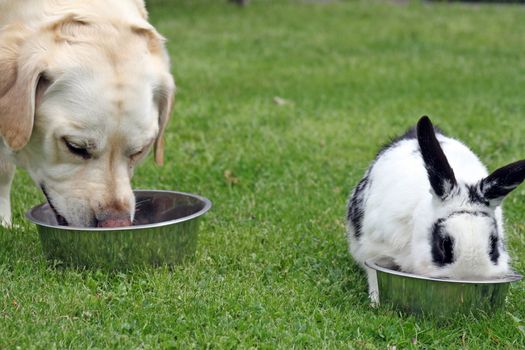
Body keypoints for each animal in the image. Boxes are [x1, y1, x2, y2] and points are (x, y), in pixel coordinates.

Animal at [348, 116, 524, 302]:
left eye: (494, 244)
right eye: (443, 244)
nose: (469, 275)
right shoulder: (375, 250)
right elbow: (373, 275)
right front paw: (375, 301)